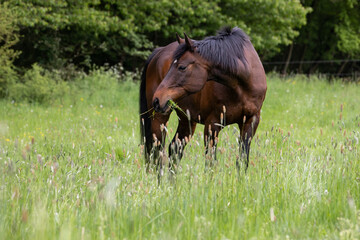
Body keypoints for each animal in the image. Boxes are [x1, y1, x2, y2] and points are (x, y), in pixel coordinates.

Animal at [139, 26, 266, 176]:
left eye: (182, 67)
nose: (157, 99)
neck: (242, 84)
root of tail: (158, 52)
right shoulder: (212, 124)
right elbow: (210, 163)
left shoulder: (250, 121)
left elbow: (242, 160)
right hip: (159, 119)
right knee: (156, 153)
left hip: (186, 120)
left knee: (174, 149)